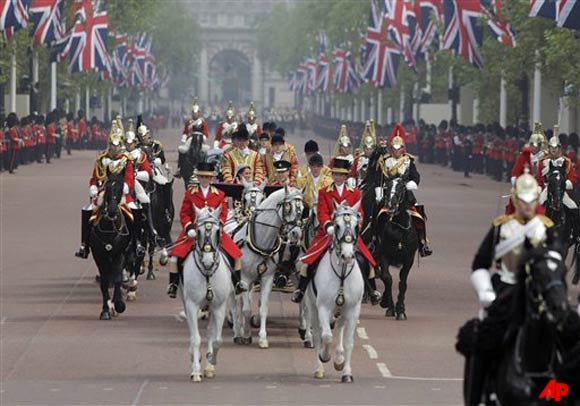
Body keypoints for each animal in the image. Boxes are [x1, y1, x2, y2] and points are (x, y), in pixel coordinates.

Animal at [89, 169, 131, 320]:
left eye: (121, 188)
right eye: (107, 187)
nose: (112, 211)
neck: (109, 228)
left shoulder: (120, 254)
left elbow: (117, 278)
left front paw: (119, 304)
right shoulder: (99, 255)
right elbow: (104, 282)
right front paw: (105, 310)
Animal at [181, 206, 231, 380]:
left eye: (217, 231)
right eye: (198, 231)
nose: (208, 261)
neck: (208, 273)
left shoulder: (219, 307)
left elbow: (217, 339)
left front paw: (211, 361)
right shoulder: (192, 305)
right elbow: (196, 338)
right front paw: (196, 370)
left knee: (210, 331)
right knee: (192, 331)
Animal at [231, 187, 304, 348]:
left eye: (302, 209)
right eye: (288, 206)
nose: (296, 234)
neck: (261, 241)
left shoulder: (267, 278)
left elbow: (263, 308)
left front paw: (263, 338)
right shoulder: (244, 278)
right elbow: (246, 309)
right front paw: (246, 335)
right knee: (235, 303)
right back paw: (237, 330)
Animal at [304, 201, 362, 384]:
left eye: (357, 226)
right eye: (336, 226)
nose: (347, 255)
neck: (342, 274)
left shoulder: (353, 310)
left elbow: (349, 342)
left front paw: (346, 372)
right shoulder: (323, 307)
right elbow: (326, 336)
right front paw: (324, 356)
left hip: (342, 310)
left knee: (341, 328)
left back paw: (339, 359)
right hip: (313, 306)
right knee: (318, 334)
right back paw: (319, 368)